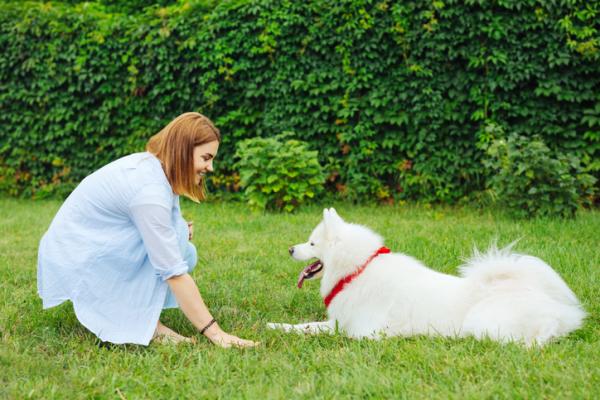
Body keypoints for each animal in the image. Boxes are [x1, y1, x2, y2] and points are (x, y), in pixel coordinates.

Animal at [268, 208, 584, 346]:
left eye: (311, 244)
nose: (290, 249)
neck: (359, 270)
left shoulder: (362, 331)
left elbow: (312, 330)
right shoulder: (338, 321)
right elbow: (305, 325)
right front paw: (274, 325)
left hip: (483, 322)